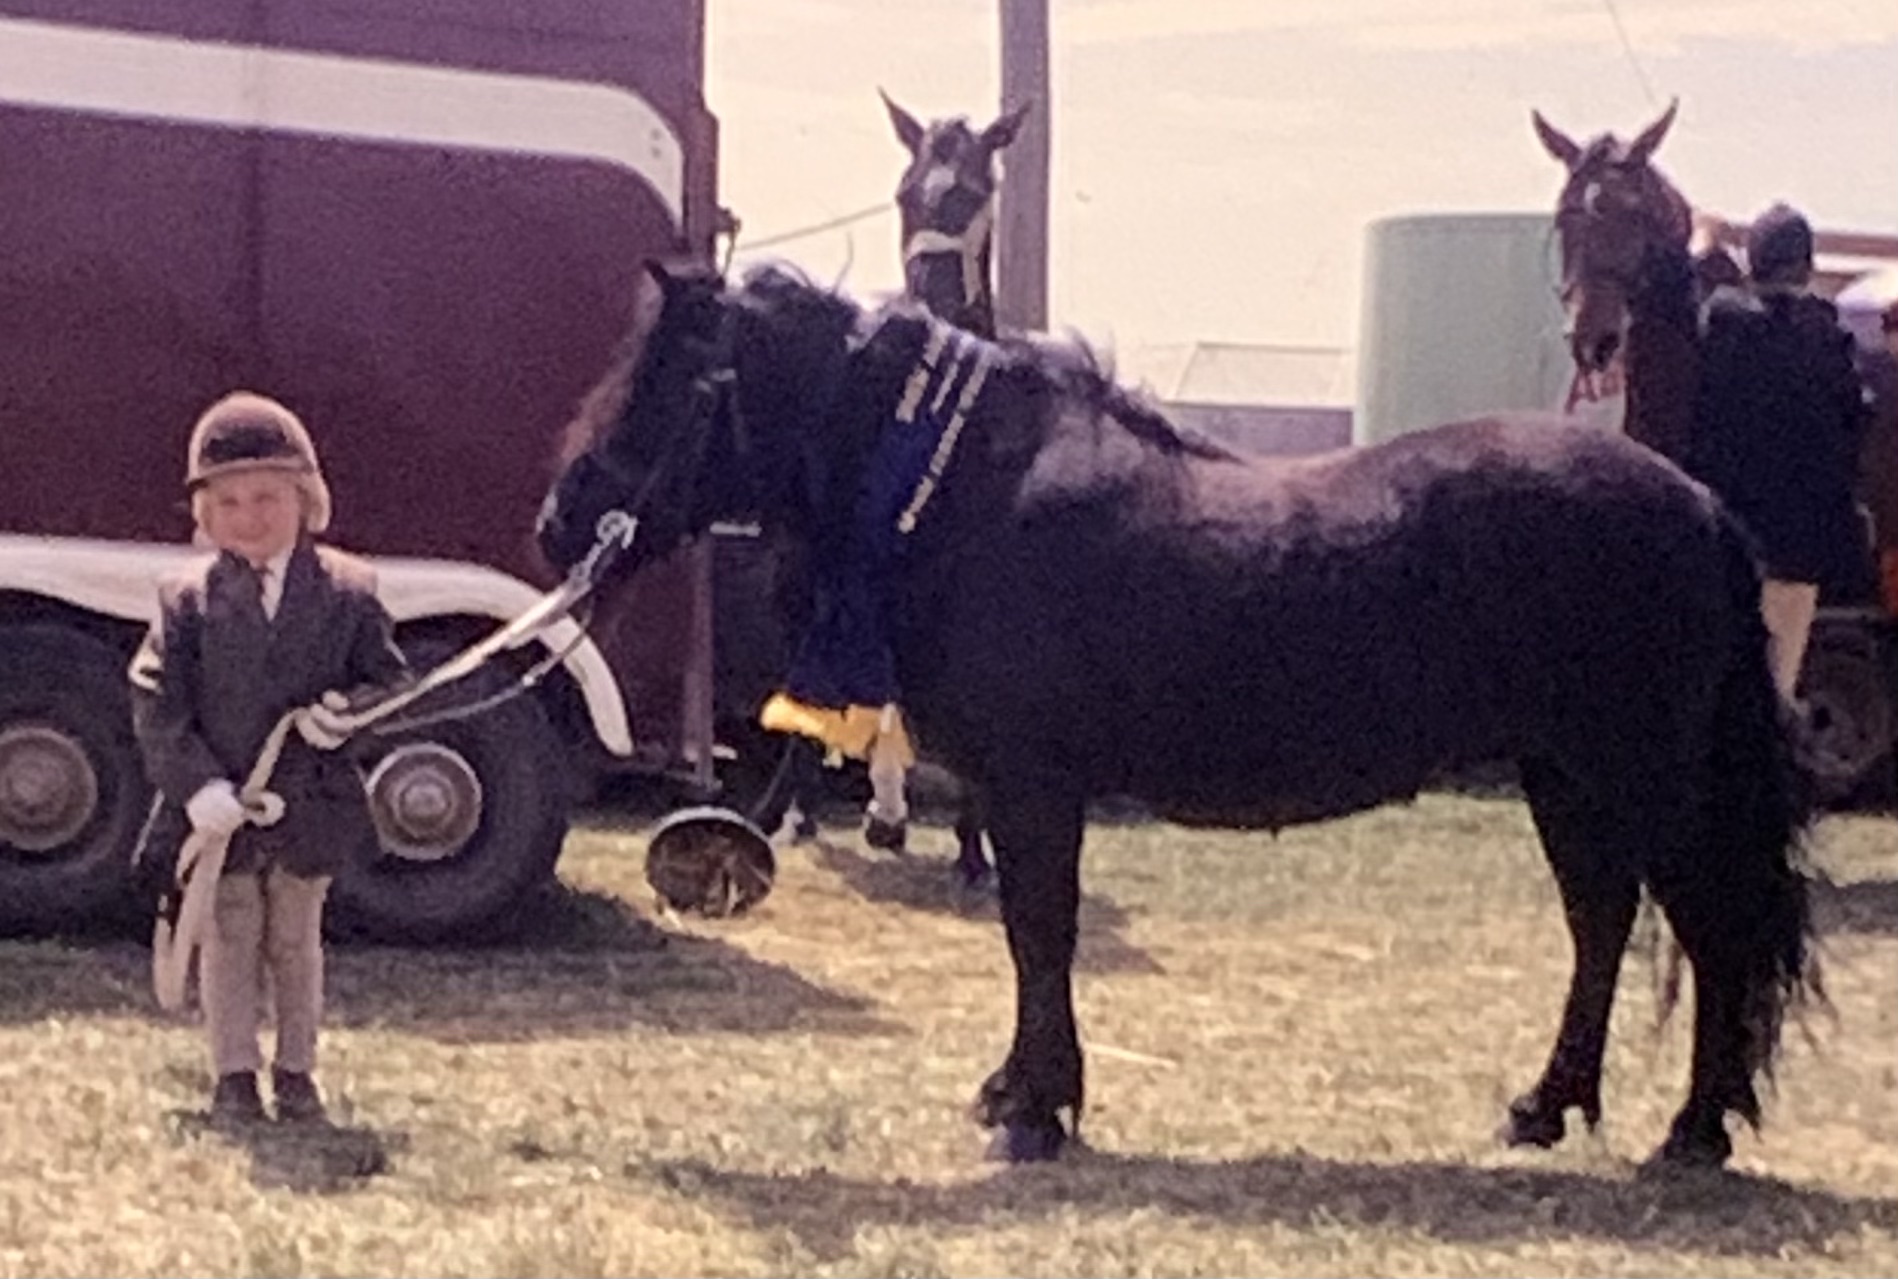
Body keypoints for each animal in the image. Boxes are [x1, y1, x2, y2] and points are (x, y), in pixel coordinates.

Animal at [536, 260, 1820, 1169]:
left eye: (665, 379)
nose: (560, 521)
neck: (967, 494)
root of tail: (1700, 505)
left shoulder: (1034, 785)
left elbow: (1039, 931)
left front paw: (1035, 1107)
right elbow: (1033, 933)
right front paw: (1022, 1092)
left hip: (1639, 781)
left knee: (1705, 933)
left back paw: (1690, 1130)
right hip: (1564, 778)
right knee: (1601, 925)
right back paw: (1543, 1106)